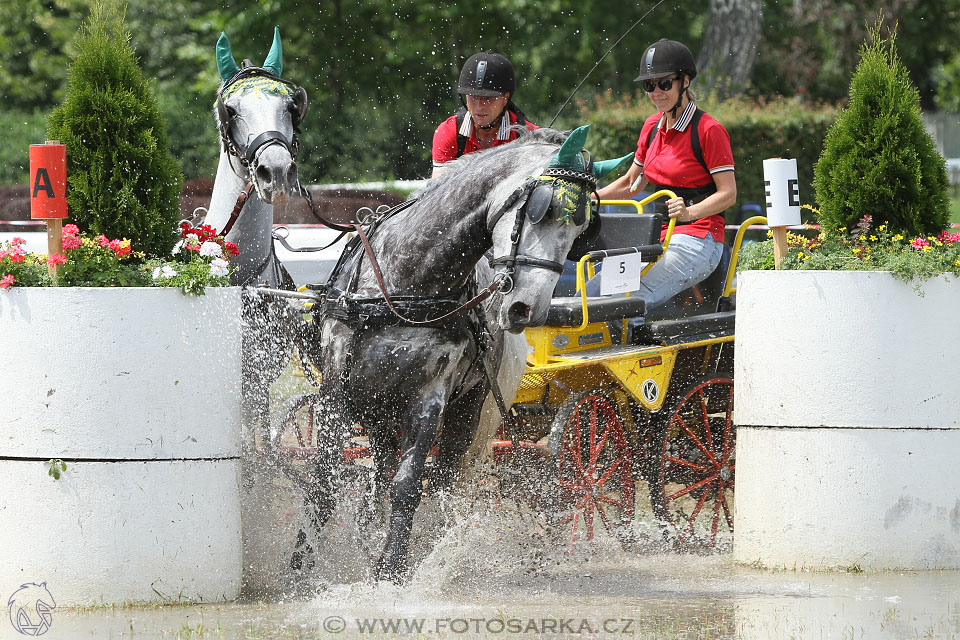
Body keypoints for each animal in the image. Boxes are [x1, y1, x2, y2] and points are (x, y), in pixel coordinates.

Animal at [201, 30, 310, 448]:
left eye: (291, 106)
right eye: (230, 110)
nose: (275, 172)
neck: (238, 279)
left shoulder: (258, 380)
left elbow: (261, 447)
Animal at [300, 127, 632, 584]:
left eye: (584, 228)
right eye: (542, 211)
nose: (527, 309)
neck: (408, 286)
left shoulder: (430, 397)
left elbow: (408, 486)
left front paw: (391, 570)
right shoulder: (337, 390)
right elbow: (323, 483)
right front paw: (301, 567)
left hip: (470, 411)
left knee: (440, 480)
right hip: (380, 410)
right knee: (381, 471)